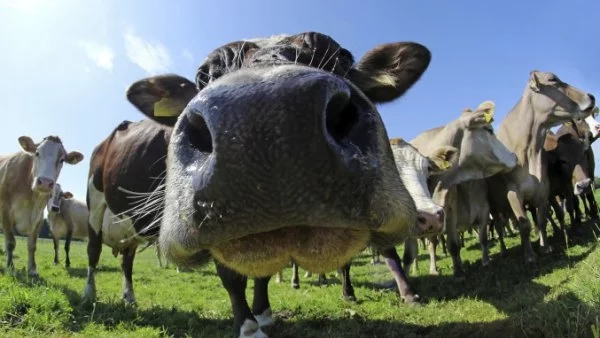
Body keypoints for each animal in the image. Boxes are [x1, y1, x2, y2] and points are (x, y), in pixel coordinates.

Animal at [0, 135, 83, 278]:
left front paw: (32, 269)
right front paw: (10, 267)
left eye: (62, 160)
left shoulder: (38, 218)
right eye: (37, 153)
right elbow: (10, 243)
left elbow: (32, 245)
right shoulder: (5, 212)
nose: (44, 182)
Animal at [125, 30, 432, 336]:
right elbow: (231, 279)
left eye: (343, 60)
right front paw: (249, 326)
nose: (266, 115)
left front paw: (264, 313)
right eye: (203, 76)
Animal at [408, 101, 520, 278]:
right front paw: (458, 272)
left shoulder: (483, 210)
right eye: (489, 130)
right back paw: (429, 269)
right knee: (431, 244)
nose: (515, 156)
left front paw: (485, 262)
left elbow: (482, 238)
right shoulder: (446, 216)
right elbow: (452, 246)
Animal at [488, 70, 596, 262]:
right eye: (553, 80)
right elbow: (524, 224)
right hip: (494, 207)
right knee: (499, 228)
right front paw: (530, 255)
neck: (529, 151)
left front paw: (545, 247)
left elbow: (541, 220)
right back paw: (503, 250)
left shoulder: (543, 190)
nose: (591, 96)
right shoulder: (513, 193)